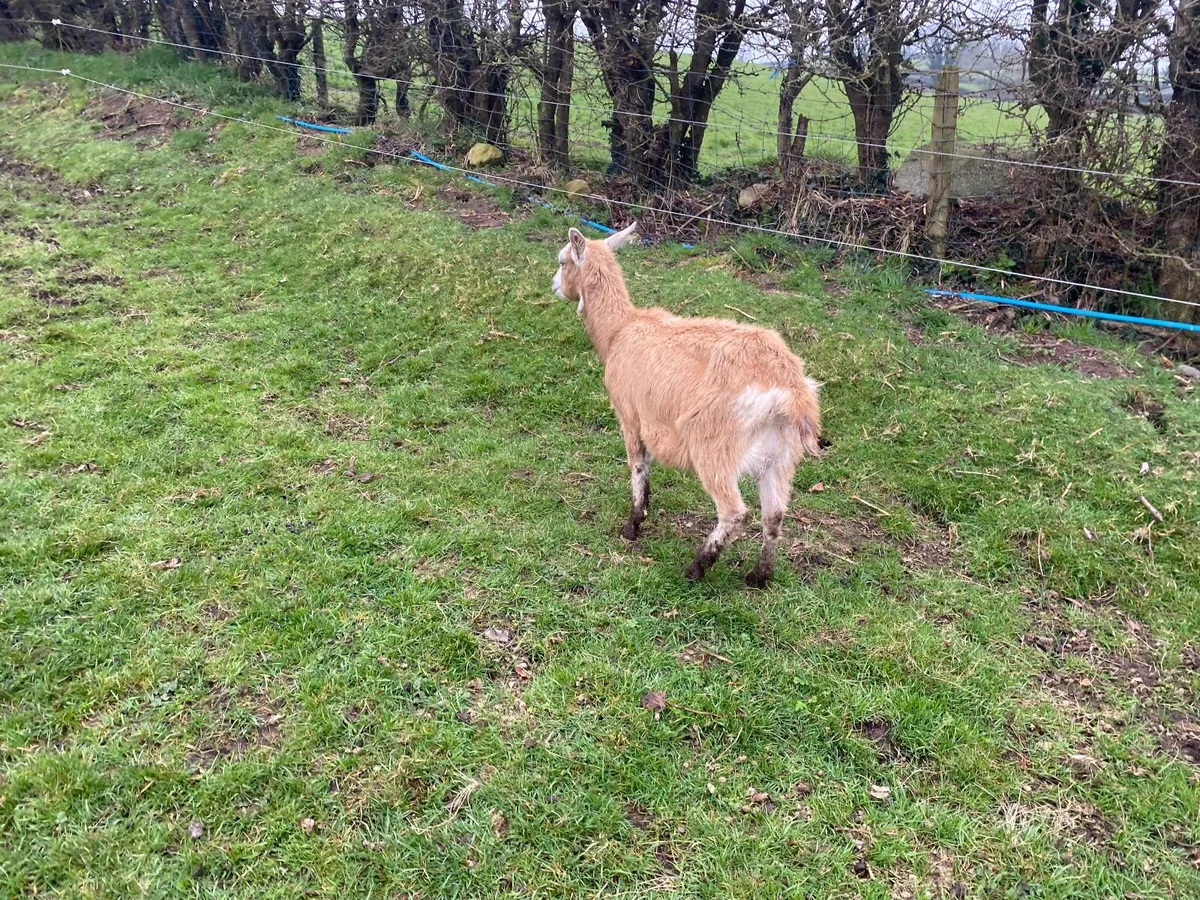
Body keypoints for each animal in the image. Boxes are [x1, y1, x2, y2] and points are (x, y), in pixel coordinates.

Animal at [551, 222, 821, 585]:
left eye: (563, 261)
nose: (554, 286)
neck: (620, 329)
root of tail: (791, 390)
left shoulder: (630, 415)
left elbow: (638, 466)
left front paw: (633, 524)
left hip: (715, 447)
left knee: (734, 511)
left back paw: (698, 566)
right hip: (781, 457)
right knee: (774, 514)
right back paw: (759, 575)